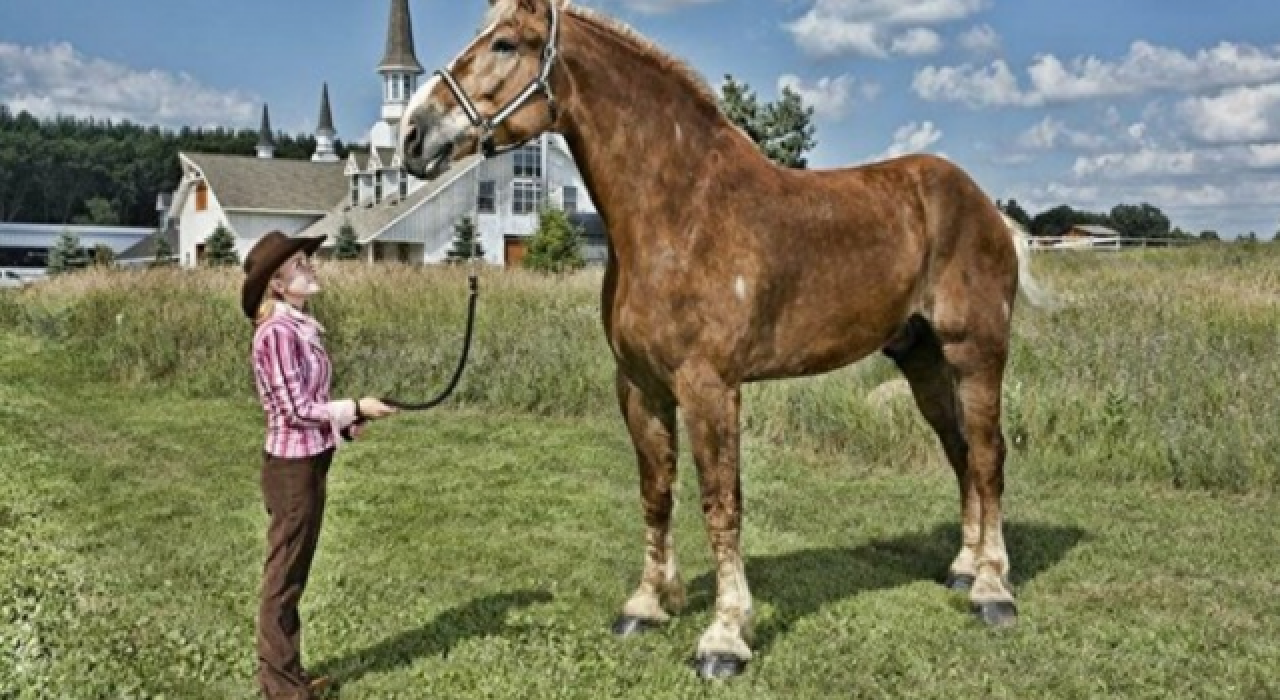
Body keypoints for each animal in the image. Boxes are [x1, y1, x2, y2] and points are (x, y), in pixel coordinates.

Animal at [396, 0, 1049, 680]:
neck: (681, 213)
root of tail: (988, 209)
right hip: (922, 361)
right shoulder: (641, 387)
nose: (412, 136)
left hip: (977, 355)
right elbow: (657, 493)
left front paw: (725, 636)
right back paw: (964, 568)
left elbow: (720, 502)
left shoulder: (709, 388)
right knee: (960, 454)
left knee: (988, 457)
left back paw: (993, 590)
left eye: (504, 43)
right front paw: (647, 605)